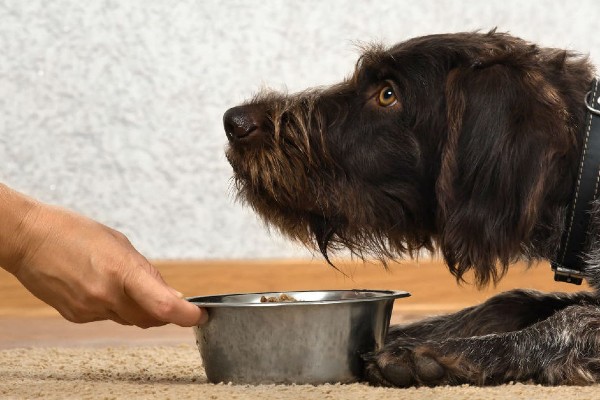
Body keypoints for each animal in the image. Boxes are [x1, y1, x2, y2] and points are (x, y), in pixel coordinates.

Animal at [221, 31, 600, 388]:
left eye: (388, 94)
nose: (234, 121)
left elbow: (573, 318)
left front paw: (438, 354)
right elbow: (509, 300)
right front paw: (399, 334)